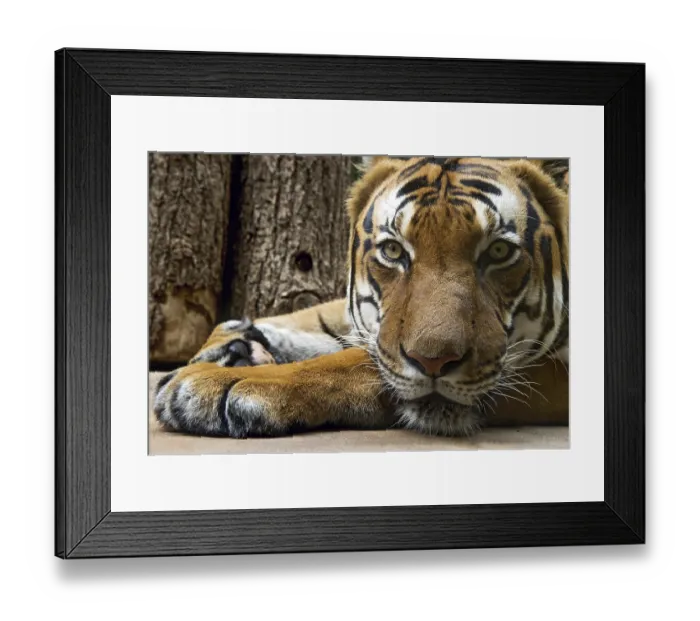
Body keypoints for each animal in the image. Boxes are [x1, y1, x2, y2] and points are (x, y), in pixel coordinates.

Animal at [154, 156, 570, 438]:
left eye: (499, 252)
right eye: (393, 251)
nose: (434, 362)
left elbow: (355, 362)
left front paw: (216, 380)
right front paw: (232, 344)